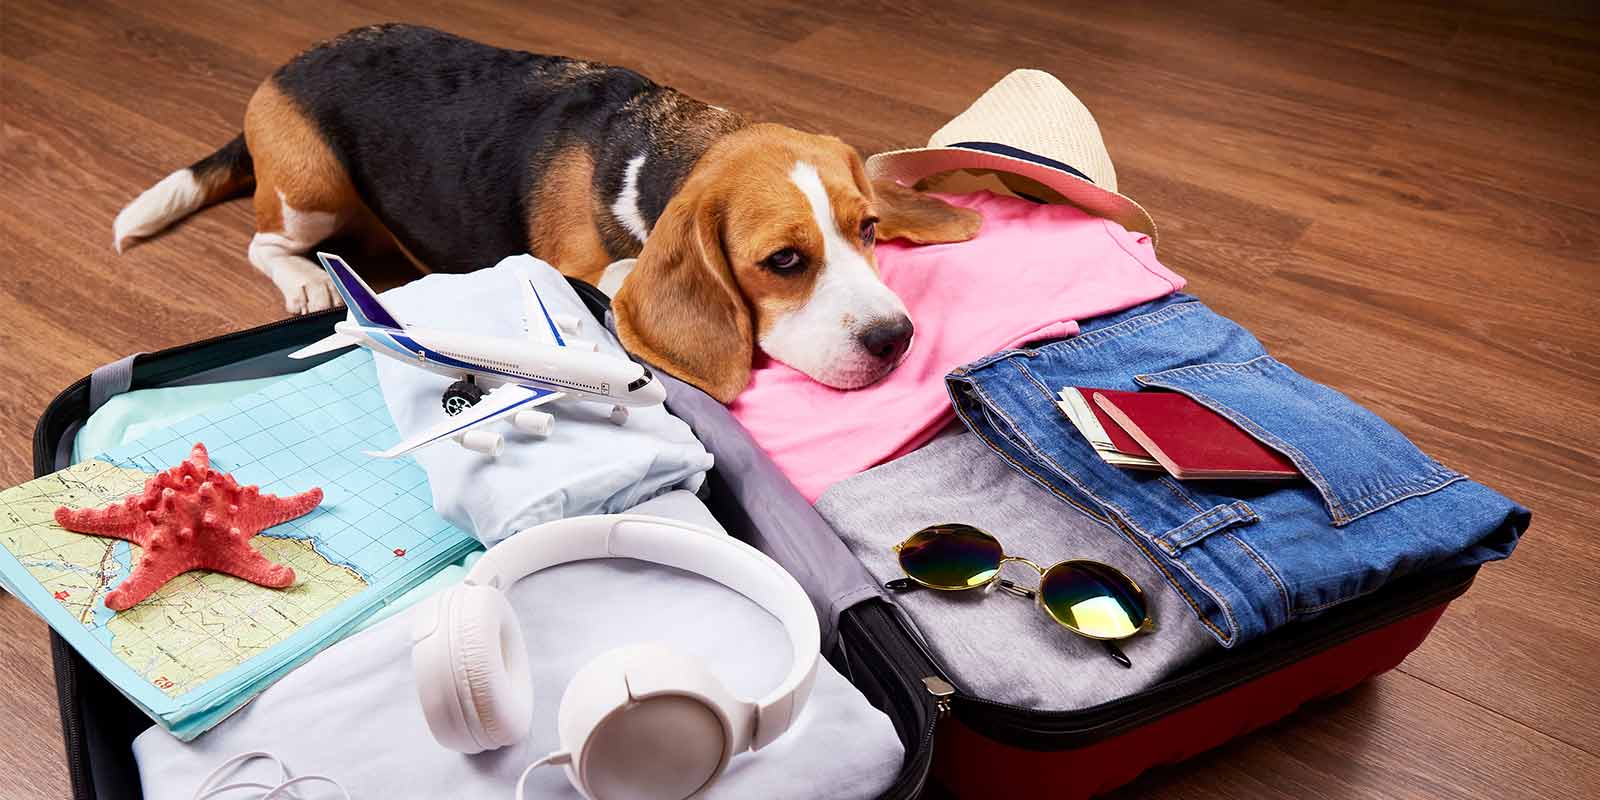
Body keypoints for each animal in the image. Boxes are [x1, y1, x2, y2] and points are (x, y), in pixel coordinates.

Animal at [112, 22, 979, 403]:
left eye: (867, 229)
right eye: (784, 262)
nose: (896, 339)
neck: (657, 148)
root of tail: (288, 64)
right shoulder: (579, 267)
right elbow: (619, 280)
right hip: (311, 188)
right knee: (265, 242)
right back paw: (305, 282)